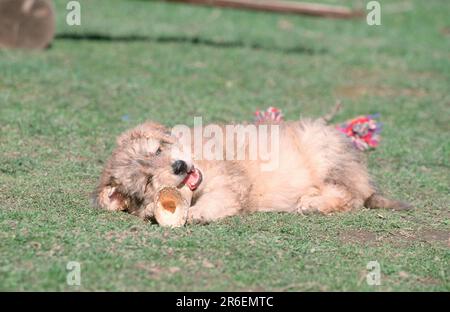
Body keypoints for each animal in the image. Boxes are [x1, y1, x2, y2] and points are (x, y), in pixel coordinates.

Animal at [92, 118, 412, 223]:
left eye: (158, 150)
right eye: (147, 182)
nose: (179, 166)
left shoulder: (231, 181)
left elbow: (217, 200)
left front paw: (196, 213)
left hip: (322, 151)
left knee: (349, 195)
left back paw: (313, 204)